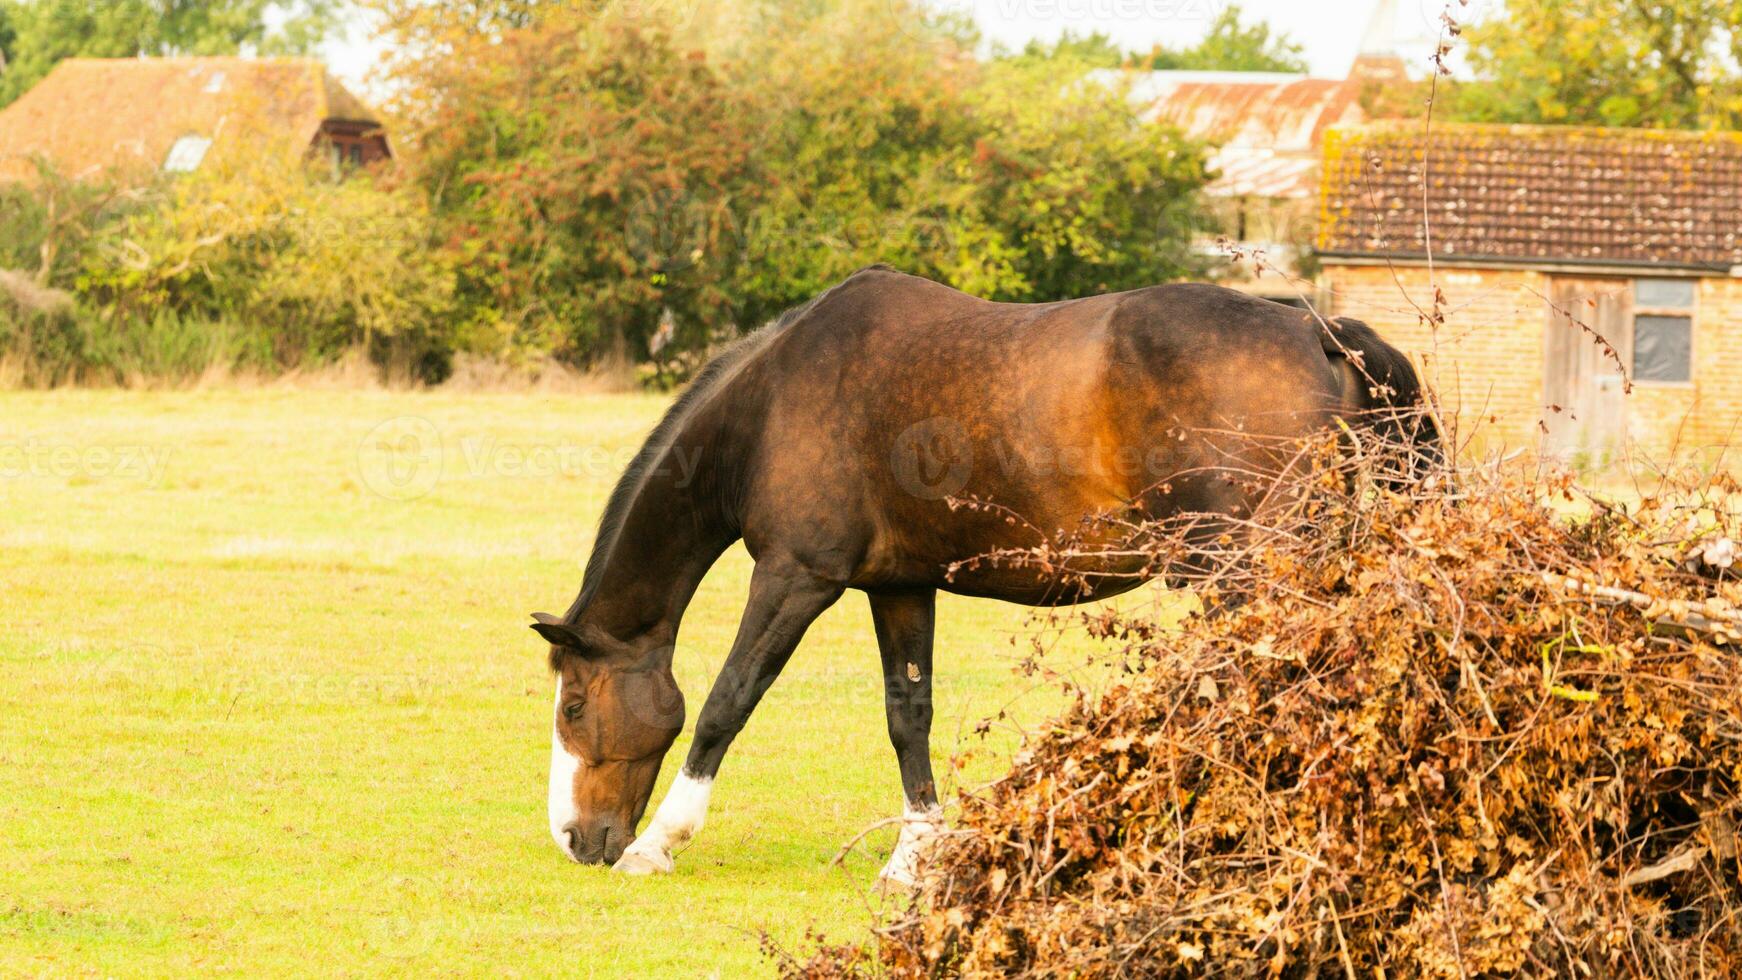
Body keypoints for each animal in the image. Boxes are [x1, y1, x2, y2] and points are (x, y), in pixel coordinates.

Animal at [529, 264, 1428, 884]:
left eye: (574, 705)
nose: (573, 839)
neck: (773, 401)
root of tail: (1319, 330)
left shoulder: (796, 577)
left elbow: (727, 701)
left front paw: (659, 842)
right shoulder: (898, 586)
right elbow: (908, 716)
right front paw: (913, 856)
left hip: (1245, 575)